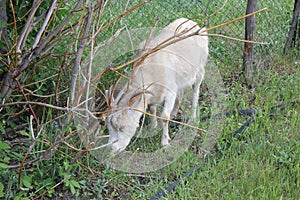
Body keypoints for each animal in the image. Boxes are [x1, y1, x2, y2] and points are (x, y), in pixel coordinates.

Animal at [106, 18, 209, 153]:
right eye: (108, 126)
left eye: (122, 127)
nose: (112, 148)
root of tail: (193, 23)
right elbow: (152, 107)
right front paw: (153, 126)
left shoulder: (170, 91)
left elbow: (164, 117)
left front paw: (165, 142)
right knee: (181, 92)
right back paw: (174, 113)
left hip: (200, 68)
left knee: (196, 89)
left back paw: (192, 118)